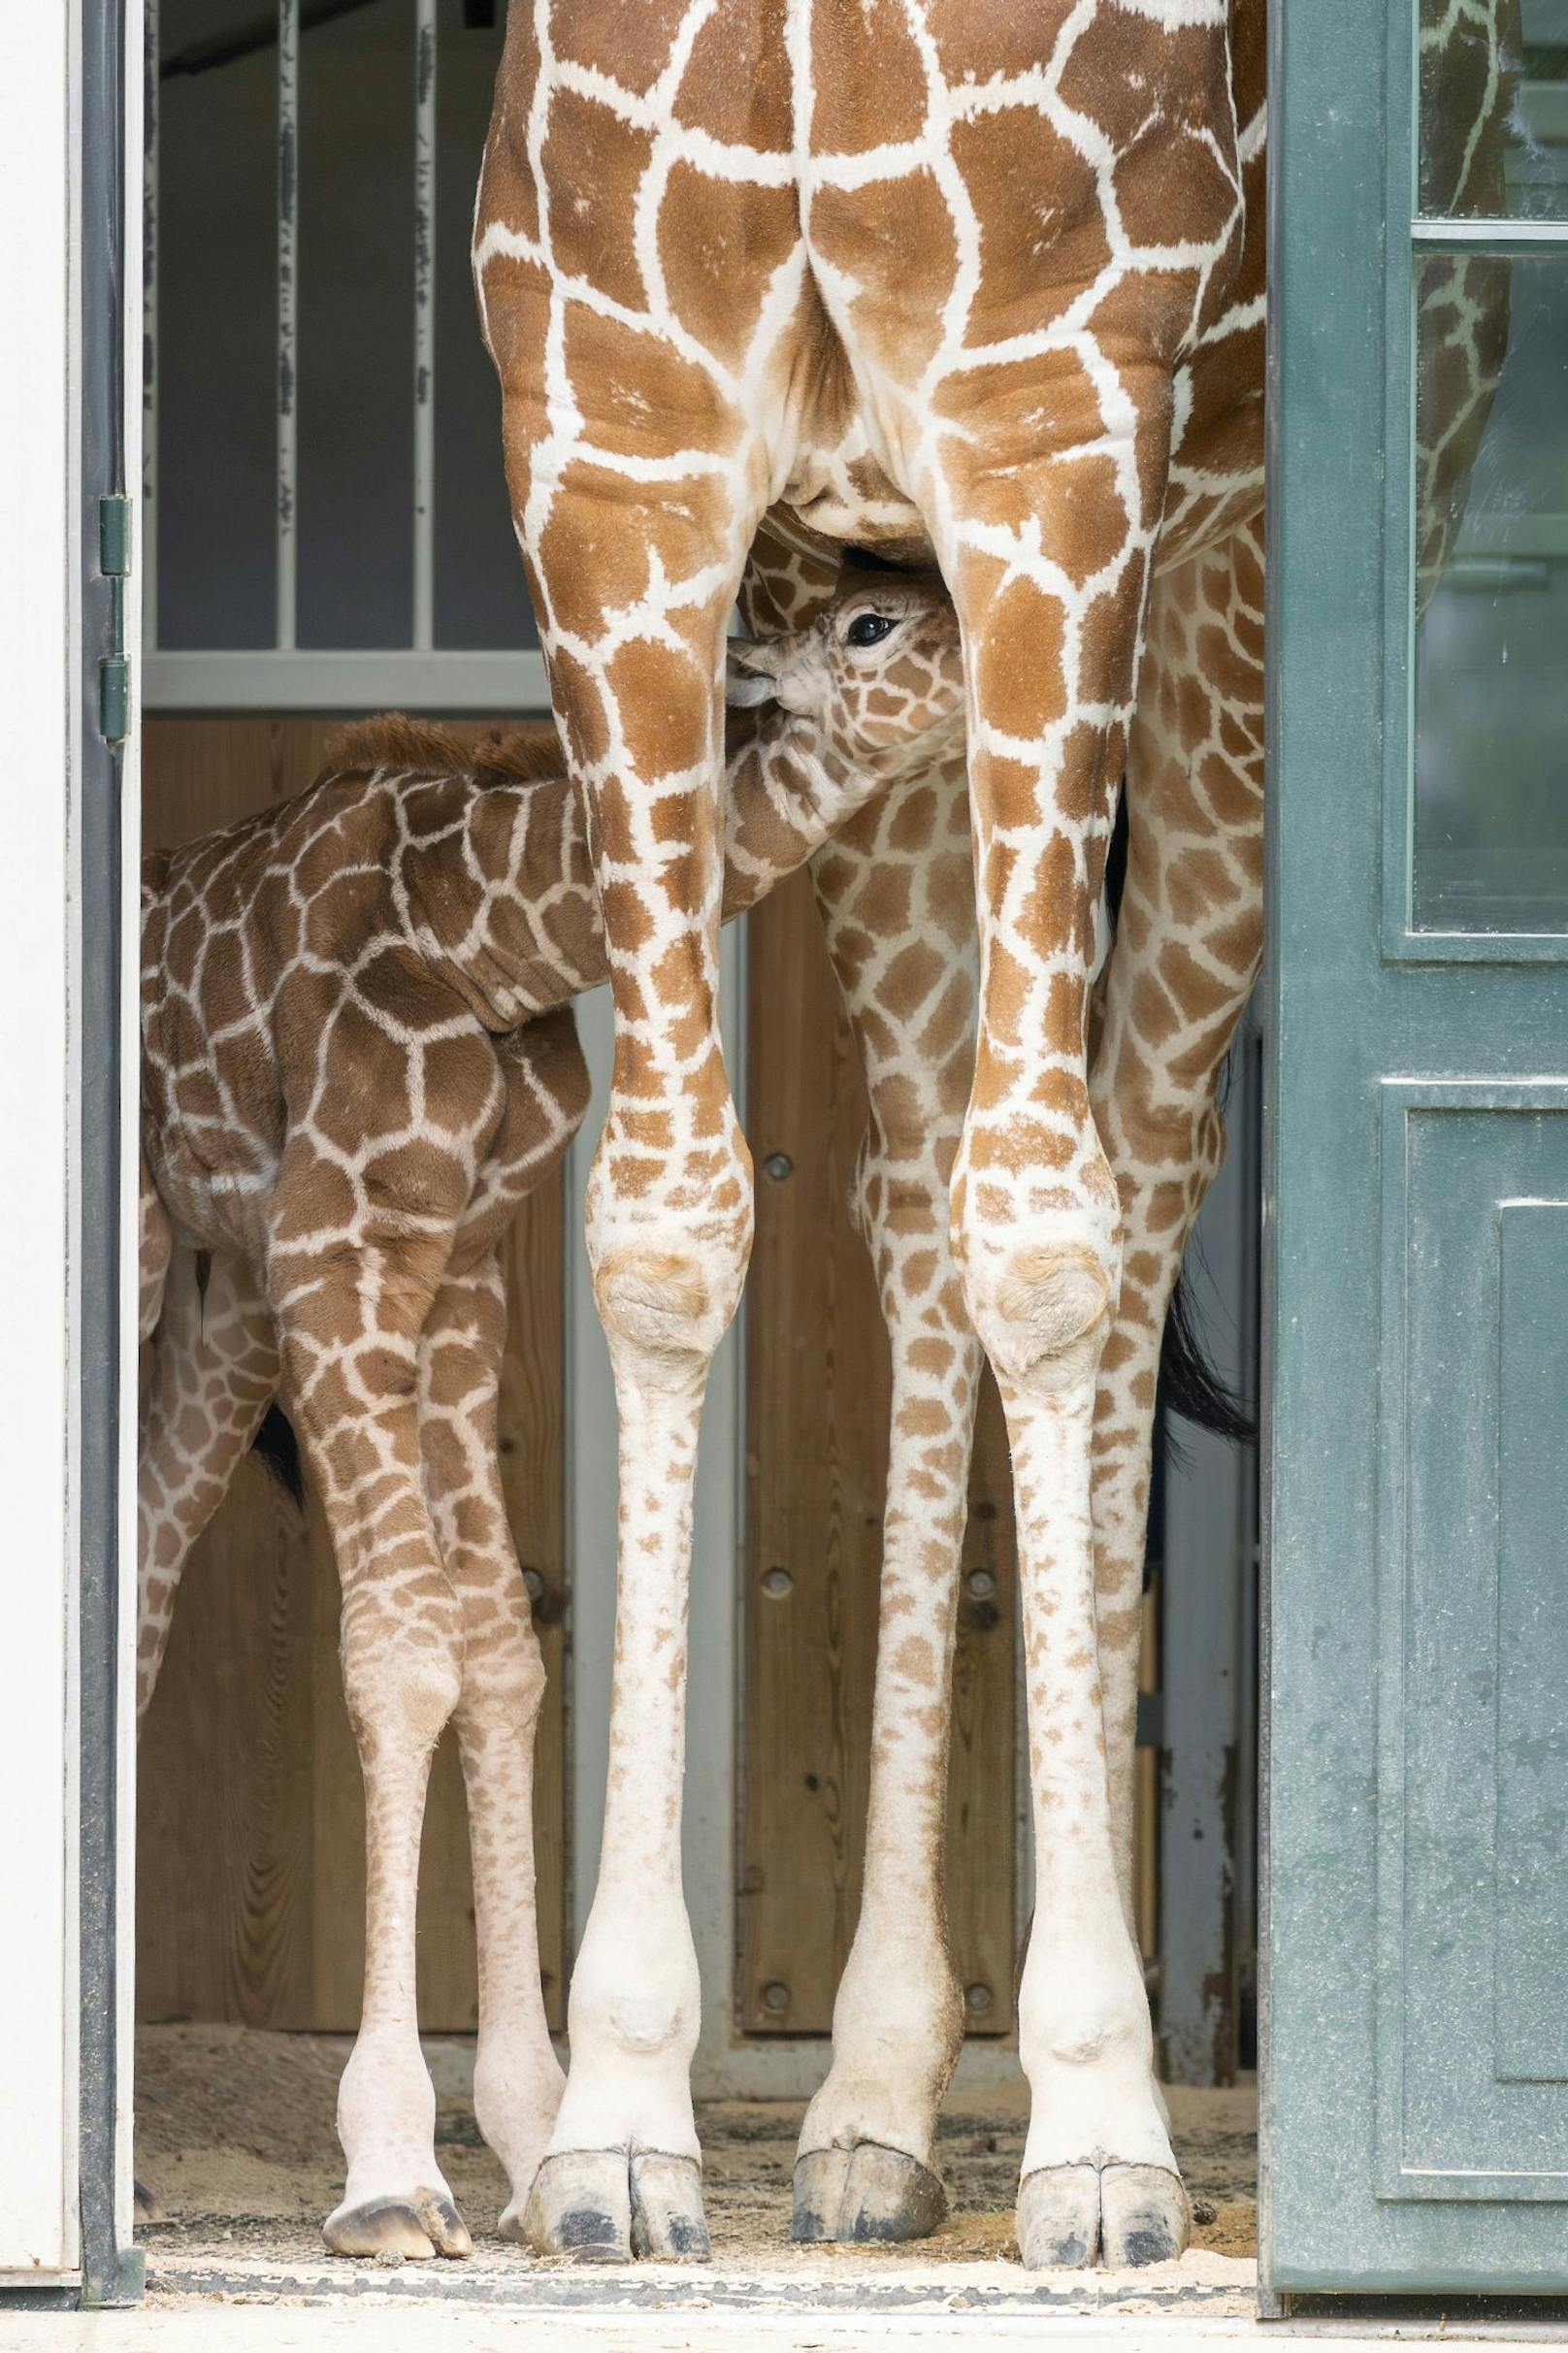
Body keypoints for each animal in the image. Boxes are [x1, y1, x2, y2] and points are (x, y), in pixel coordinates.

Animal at [137, 569, 964, 2259]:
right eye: (866, 623)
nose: (994, 654)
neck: (478, 939)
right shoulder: (337, 1253)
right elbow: (401, 1654)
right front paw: (392, 2168)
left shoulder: (454, 1268)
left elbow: (500, 1658)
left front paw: (531, 2145)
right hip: (155, 1239)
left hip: (225, 1306)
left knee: (141, 1554)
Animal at [473, 0, 1261, 2277]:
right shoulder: (615, 433)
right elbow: (664, 1222)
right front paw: (618, 2116)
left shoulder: (1050, 413)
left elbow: (1052, 1238)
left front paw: (1096, 2120)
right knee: (921, 1190)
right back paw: (874, 2097)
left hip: (1241, 548)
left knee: (1135, 1156)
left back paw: (1091, 2039)